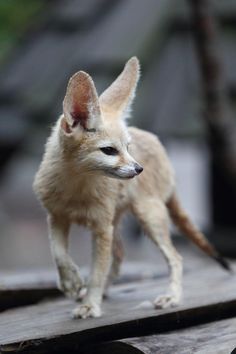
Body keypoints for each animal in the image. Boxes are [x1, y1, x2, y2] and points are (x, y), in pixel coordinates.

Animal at [33, 56, 230, 320]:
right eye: (109, 150)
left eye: (128, 147)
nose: (139, 169)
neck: (76, 188)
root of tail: (156, 142)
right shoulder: (56, 217)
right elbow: (59, 255)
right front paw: (71, 282)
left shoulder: (101, 228)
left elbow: (96, 272)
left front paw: (91, 304)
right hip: (118, 223)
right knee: (117, 259)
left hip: (149, 218)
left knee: (175, 258)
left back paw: (171, 297)